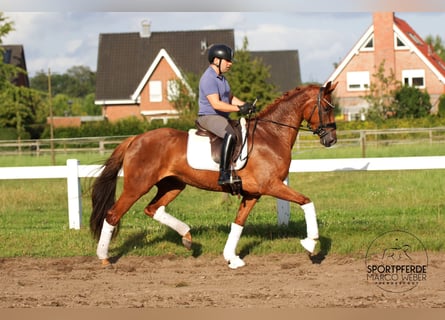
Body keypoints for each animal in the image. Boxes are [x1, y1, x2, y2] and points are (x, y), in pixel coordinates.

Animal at [92, 81, 338, 268]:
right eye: (327, 108)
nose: (331, 140)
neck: (271, 135)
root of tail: (136, 139)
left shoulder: (253, 193)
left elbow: (238, 223)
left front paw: (231, 258)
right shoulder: (271, 185)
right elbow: (307, 201)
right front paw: (311, 243)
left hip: (173, 185)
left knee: (153, 209)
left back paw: (187, 237)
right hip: (137, 186)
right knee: (113, 215)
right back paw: (104, 257)